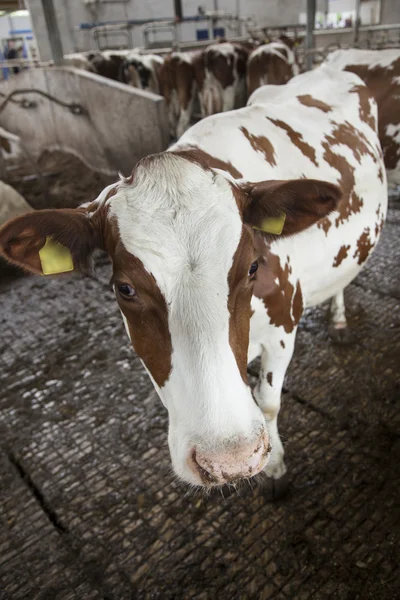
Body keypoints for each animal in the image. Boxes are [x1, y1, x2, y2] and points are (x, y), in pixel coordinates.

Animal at [0, 65, 388, 488]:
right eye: (125, 288)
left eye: (253, 267)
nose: (229, 459)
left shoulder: (284, 328)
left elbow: (268, 403)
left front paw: (274, 467)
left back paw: (338, 320)